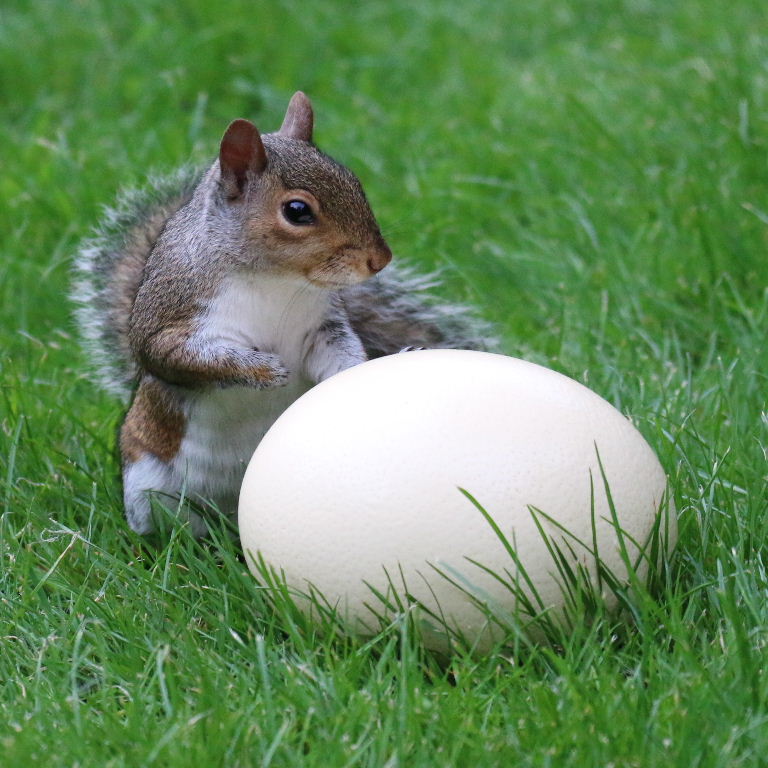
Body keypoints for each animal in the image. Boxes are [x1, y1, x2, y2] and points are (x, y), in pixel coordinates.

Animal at [72, 92, 492, 536]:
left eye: (355, 182)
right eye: (297, 211)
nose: (380, 259)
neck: (276, 280)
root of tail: (230, 510)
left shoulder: (321, 327)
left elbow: (336, 355)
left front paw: (366, 369)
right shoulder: (172, 319)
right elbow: (179, 356)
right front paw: (261, 369)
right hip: (146, 485)